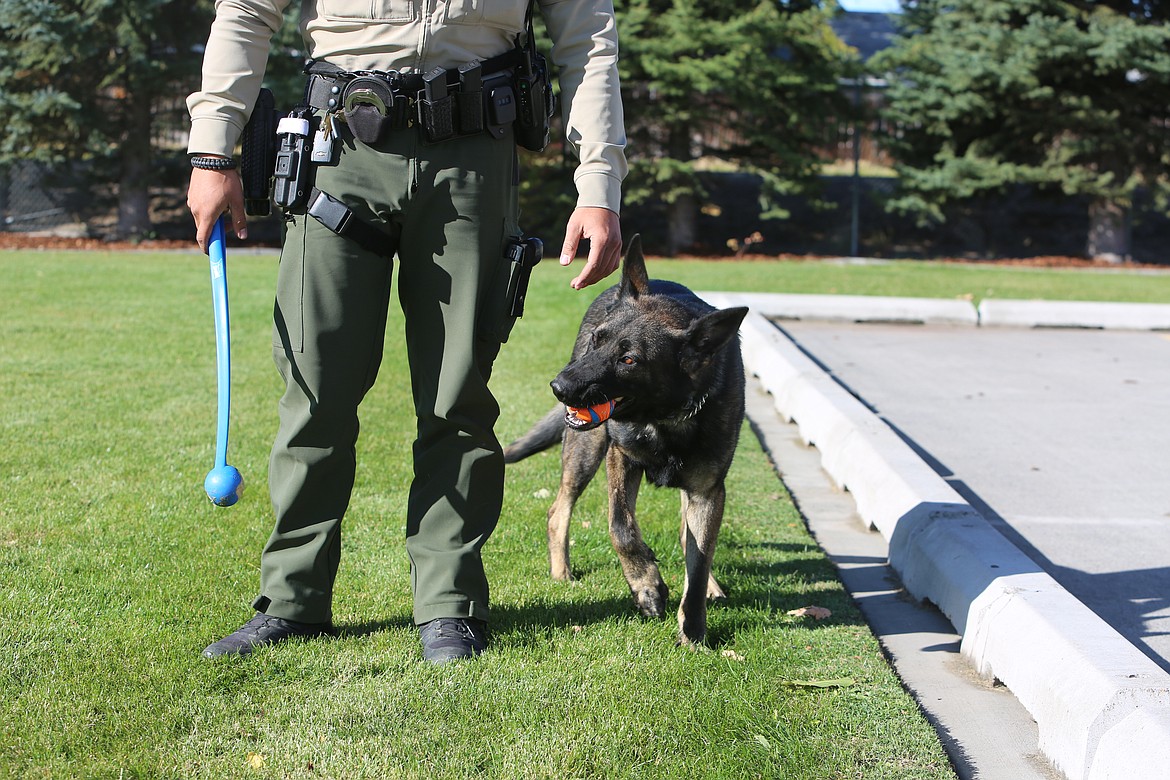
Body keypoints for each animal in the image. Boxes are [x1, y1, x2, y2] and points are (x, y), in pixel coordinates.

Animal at [505, 238, 748, 645]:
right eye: (597, 339)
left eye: (629, 359)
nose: (559, 387)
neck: (664, 419)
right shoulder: (620, 458)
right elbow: (621, 527)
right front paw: (646, 586)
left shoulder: (707, 492)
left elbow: (698, 560)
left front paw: (693, 629)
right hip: (585, 451)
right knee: (558, 510)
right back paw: (561, 572)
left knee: (691, 539)